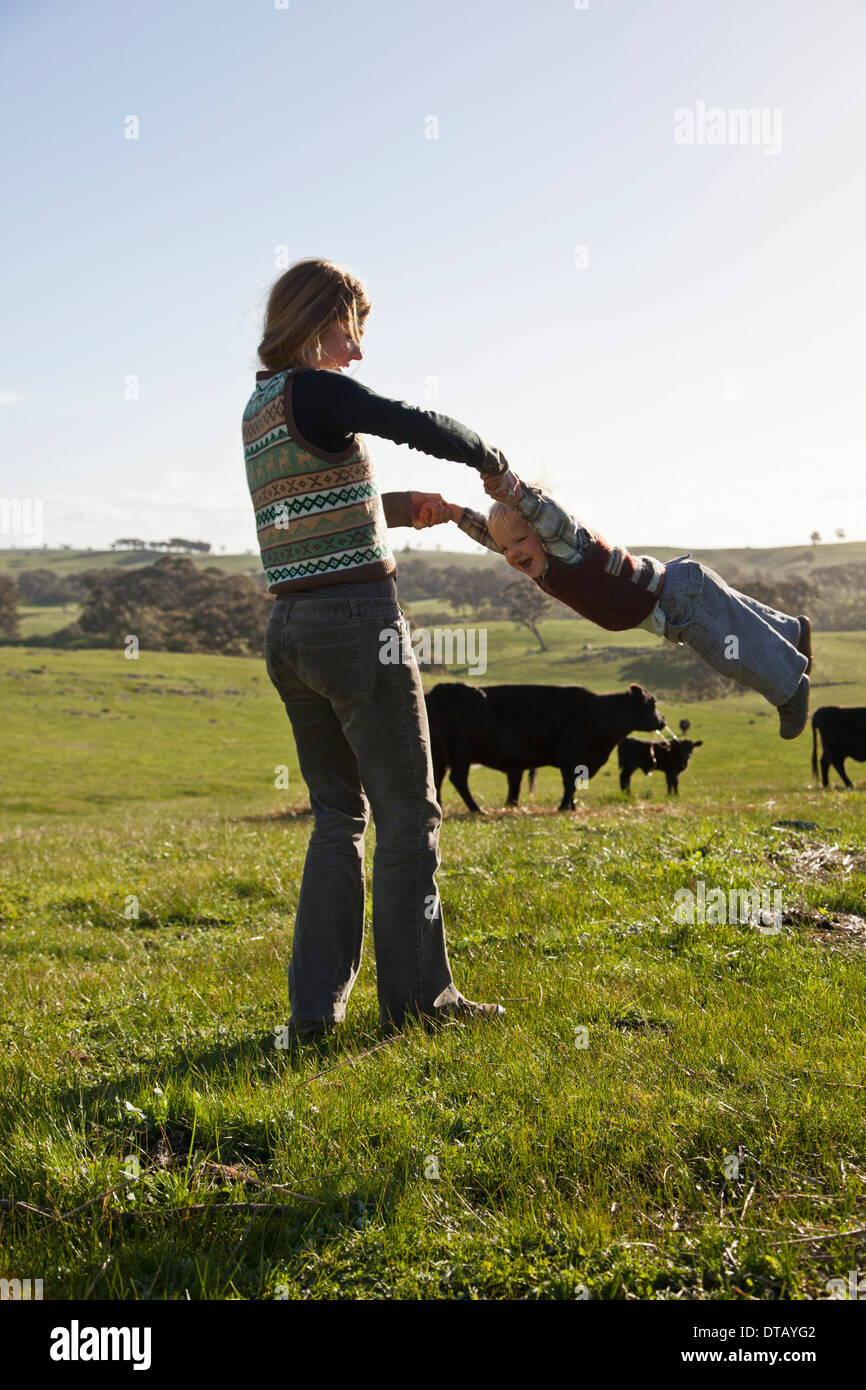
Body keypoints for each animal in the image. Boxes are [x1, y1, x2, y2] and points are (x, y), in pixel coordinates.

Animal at [425, 683, 664, 811]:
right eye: (652, 703)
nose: (663, 721)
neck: (598, 712)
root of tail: (437, 693)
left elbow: (571, 786)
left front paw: (570, 806)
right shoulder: (570, 759)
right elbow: (569, 785)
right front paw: (565, 807)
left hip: (439, 758)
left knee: (436, 780)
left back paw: (442, 806)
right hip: (461, 756)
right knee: (458, 780)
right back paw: (477, 809)